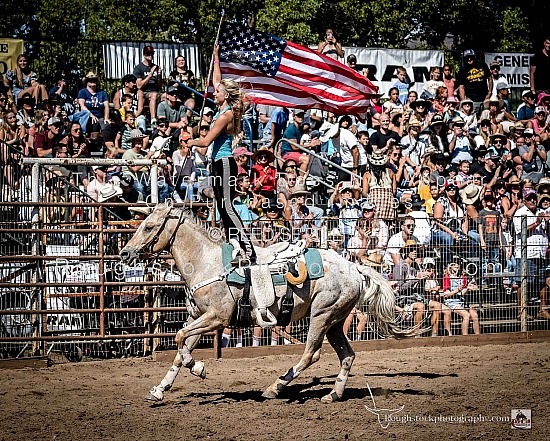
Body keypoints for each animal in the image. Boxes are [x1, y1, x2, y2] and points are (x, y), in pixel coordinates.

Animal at [121, 204, 420, 402]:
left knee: (311, 354)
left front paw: (199, 368)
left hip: (321, 316)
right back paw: (333, 394)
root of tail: (354, 268)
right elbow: (180, 346)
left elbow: (180, 338)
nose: (124, 253)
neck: (207, 263)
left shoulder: (216, 318)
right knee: (347, 355)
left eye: (149, 227)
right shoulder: (198, 318)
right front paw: (160, 389)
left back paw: (275, 386)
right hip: (335, 321)